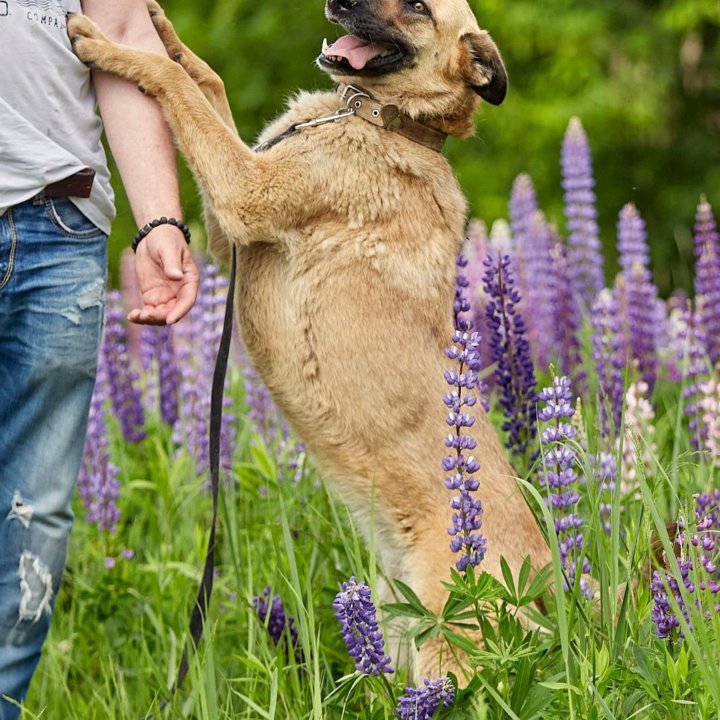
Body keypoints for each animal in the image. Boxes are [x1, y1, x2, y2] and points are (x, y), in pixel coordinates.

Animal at [69, 0, 552, 676]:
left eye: (418, 7)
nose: (338, 2)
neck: (385, 120)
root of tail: (554, 596)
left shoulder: (244, 192)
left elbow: (177, 90)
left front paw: (109, 46)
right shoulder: (230, 228)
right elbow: (206, 81)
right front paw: (165, 36)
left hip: (450, 655)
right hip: (394, 631)